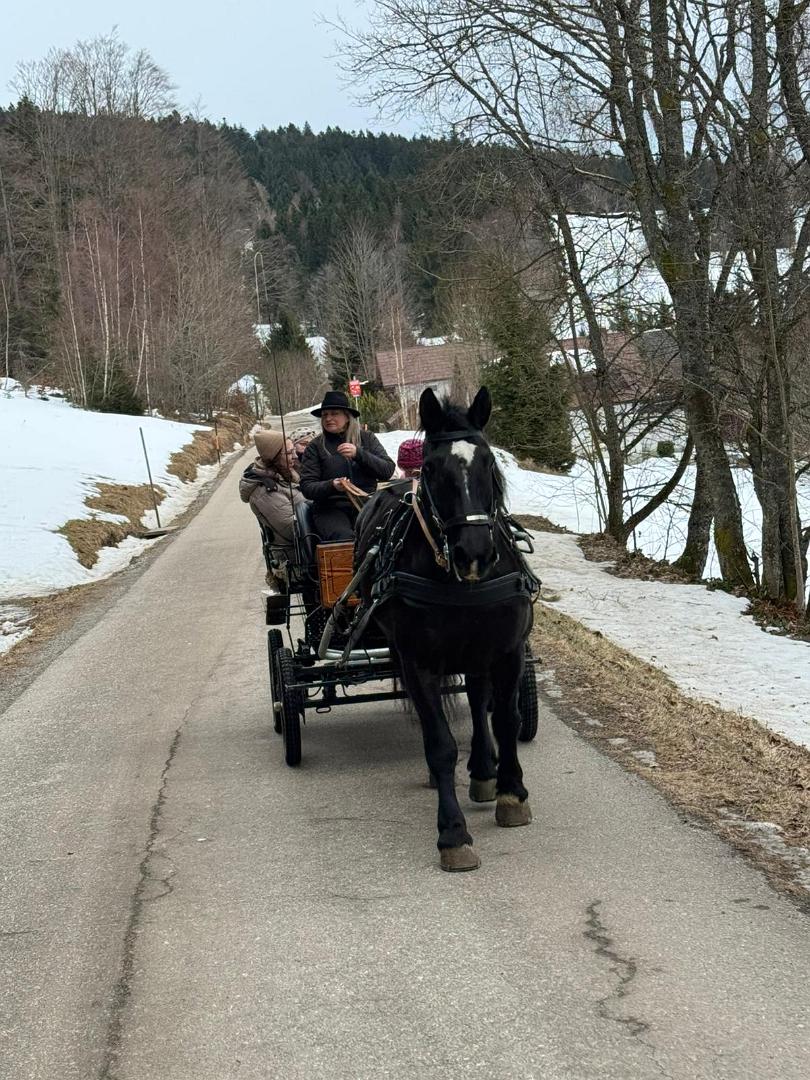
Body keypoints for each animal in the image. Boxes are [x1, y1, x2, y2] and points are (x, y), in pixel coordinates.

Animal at [353, 386, 537, 871]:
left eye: (488, 462)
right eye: (433, 468)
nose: (475, 553)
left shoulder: (507, 649)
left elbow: (505, 719)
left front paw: (511, 793)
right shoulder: (417, 661)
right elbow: (440, 744)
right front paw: (453, 833)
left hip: (476, 649)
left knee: (476, 697)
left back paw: (484, 772)